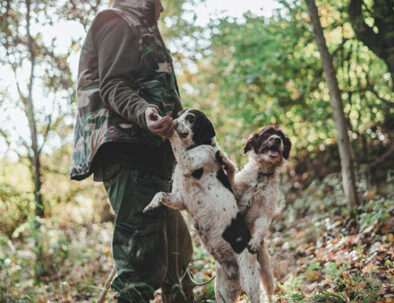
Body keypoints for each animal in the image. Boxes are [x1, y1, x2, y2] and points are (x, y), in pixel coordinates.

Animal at [223, 124, 290, 302]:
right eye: (266, 134)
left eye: (281, 136)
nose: (277, 139)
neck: (261, 177)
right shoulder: (236, 195)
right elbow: (232, 176)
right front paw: (227, 164)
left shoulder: (265, 212)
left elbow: (260, 226)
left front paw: (253, 241)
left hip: (266, 272)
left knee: (269, 291)